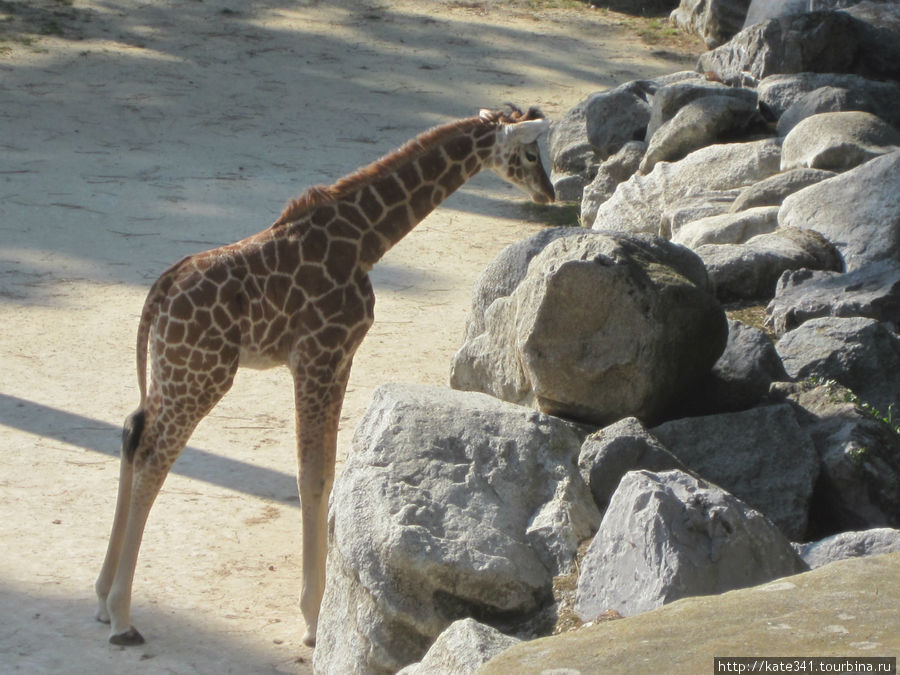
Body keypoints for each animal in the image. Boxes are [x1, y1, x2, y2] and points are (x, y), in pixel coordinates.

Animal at [95, 105, 552, 648]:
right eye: (530, 153)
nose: (549, 193)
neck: (365, 238)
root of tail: (160, 291)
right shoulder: (322, 352)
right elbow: (313, 475)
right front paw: (314, 617)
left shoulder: (333, 356)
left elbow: (324, 471)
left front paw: (315, 610)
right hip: (203, 373)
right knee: (153, 457)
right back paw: (122, 615)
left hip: (173, 372)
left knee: (131, 431)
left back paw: (101, 597)